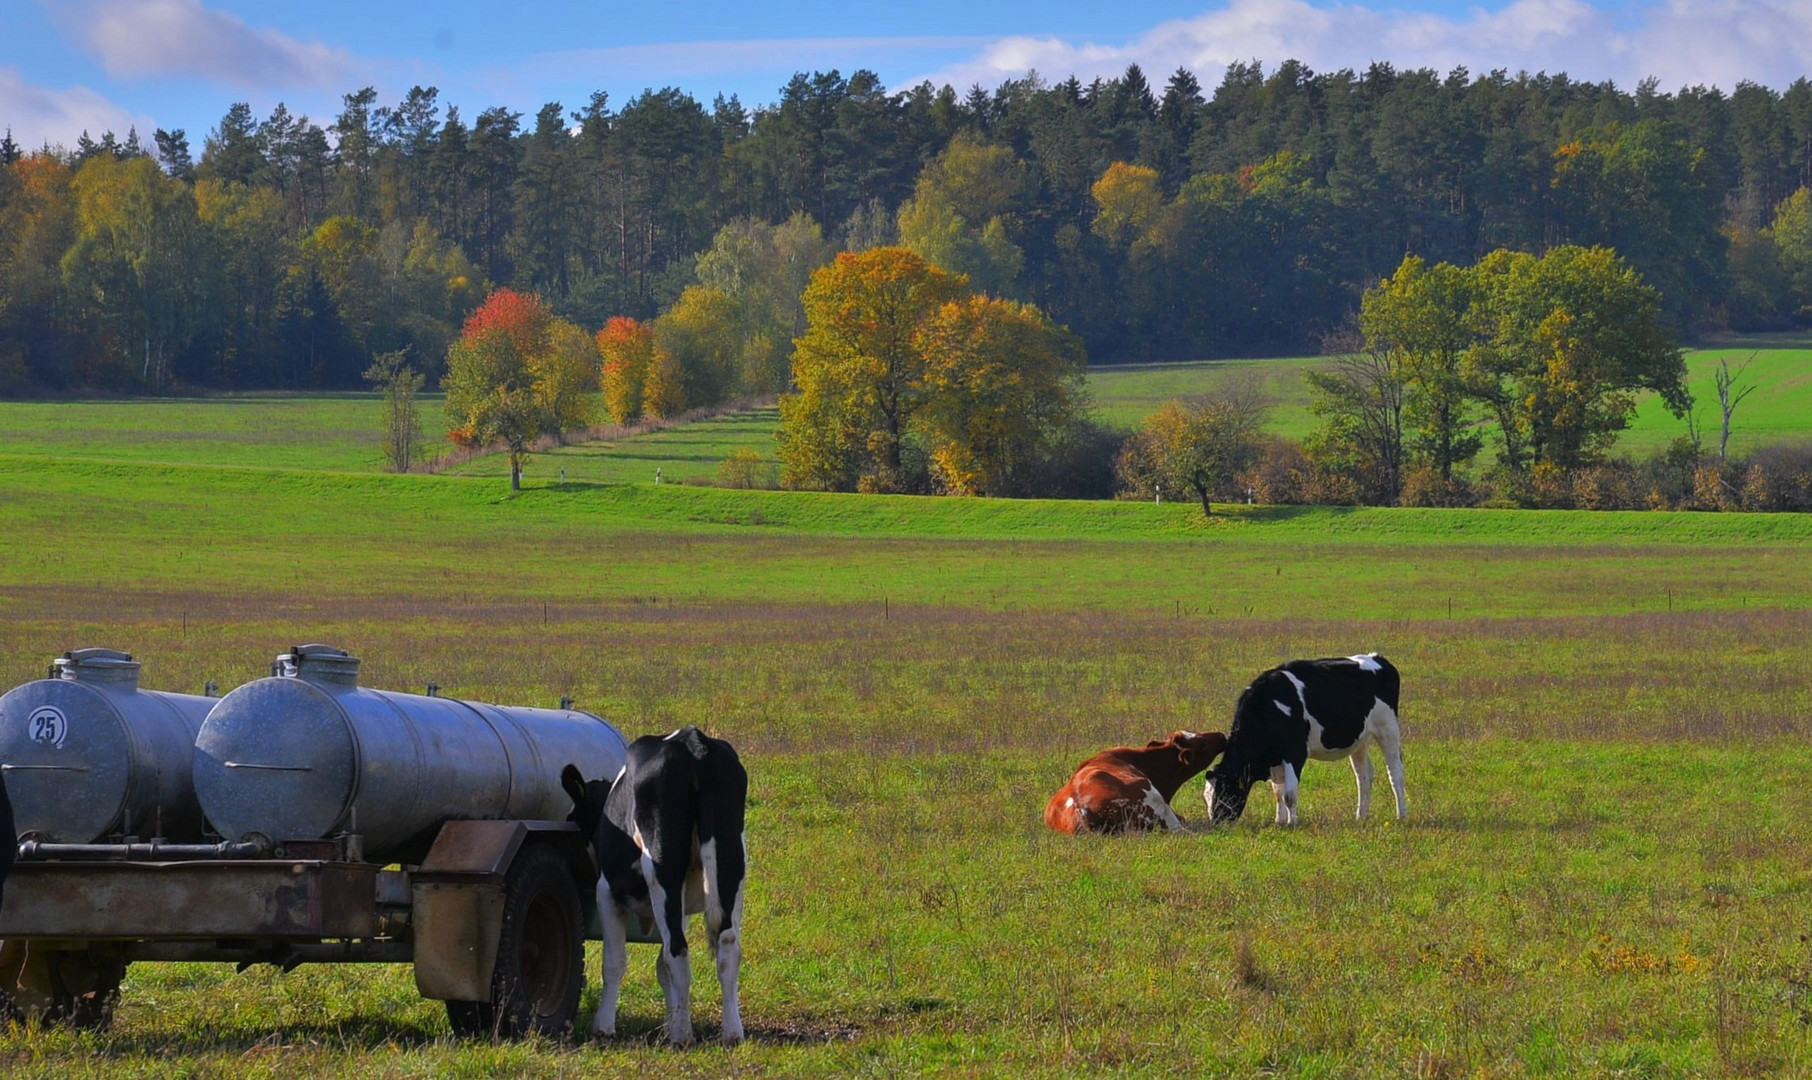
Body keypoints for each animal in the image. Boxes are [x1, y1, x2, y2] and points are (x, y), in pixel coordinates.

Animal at [554, 724, 746, 1043]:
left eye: (572, 818)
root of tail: (695, 743)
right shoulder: (682, 906)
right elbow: (661, 969)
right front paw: (671, 1020)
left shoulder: (607, 892)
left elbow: (614, 962)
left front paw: (604, 1026)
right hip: (731, 863)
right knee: (727, 946)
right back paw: (731, 1032)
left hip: (662, 867)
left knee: (677, 950)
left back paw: (682, 1036)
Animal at [1210, 648, 1406, 826]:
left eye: (1224, 791)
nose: (1216, 821)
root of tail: (1377, 658)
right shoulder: (1275, 758)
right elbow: (1278, 792)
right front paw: (1279, 821)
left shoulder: (1295, 752)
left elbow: (1289, 794)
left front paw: (1293, 823)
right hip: (1360, 740)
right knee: (1364, 775)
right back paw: (1361, 816)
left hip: (1388, 728)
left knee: (1396, 773)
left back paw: (1401, 815)